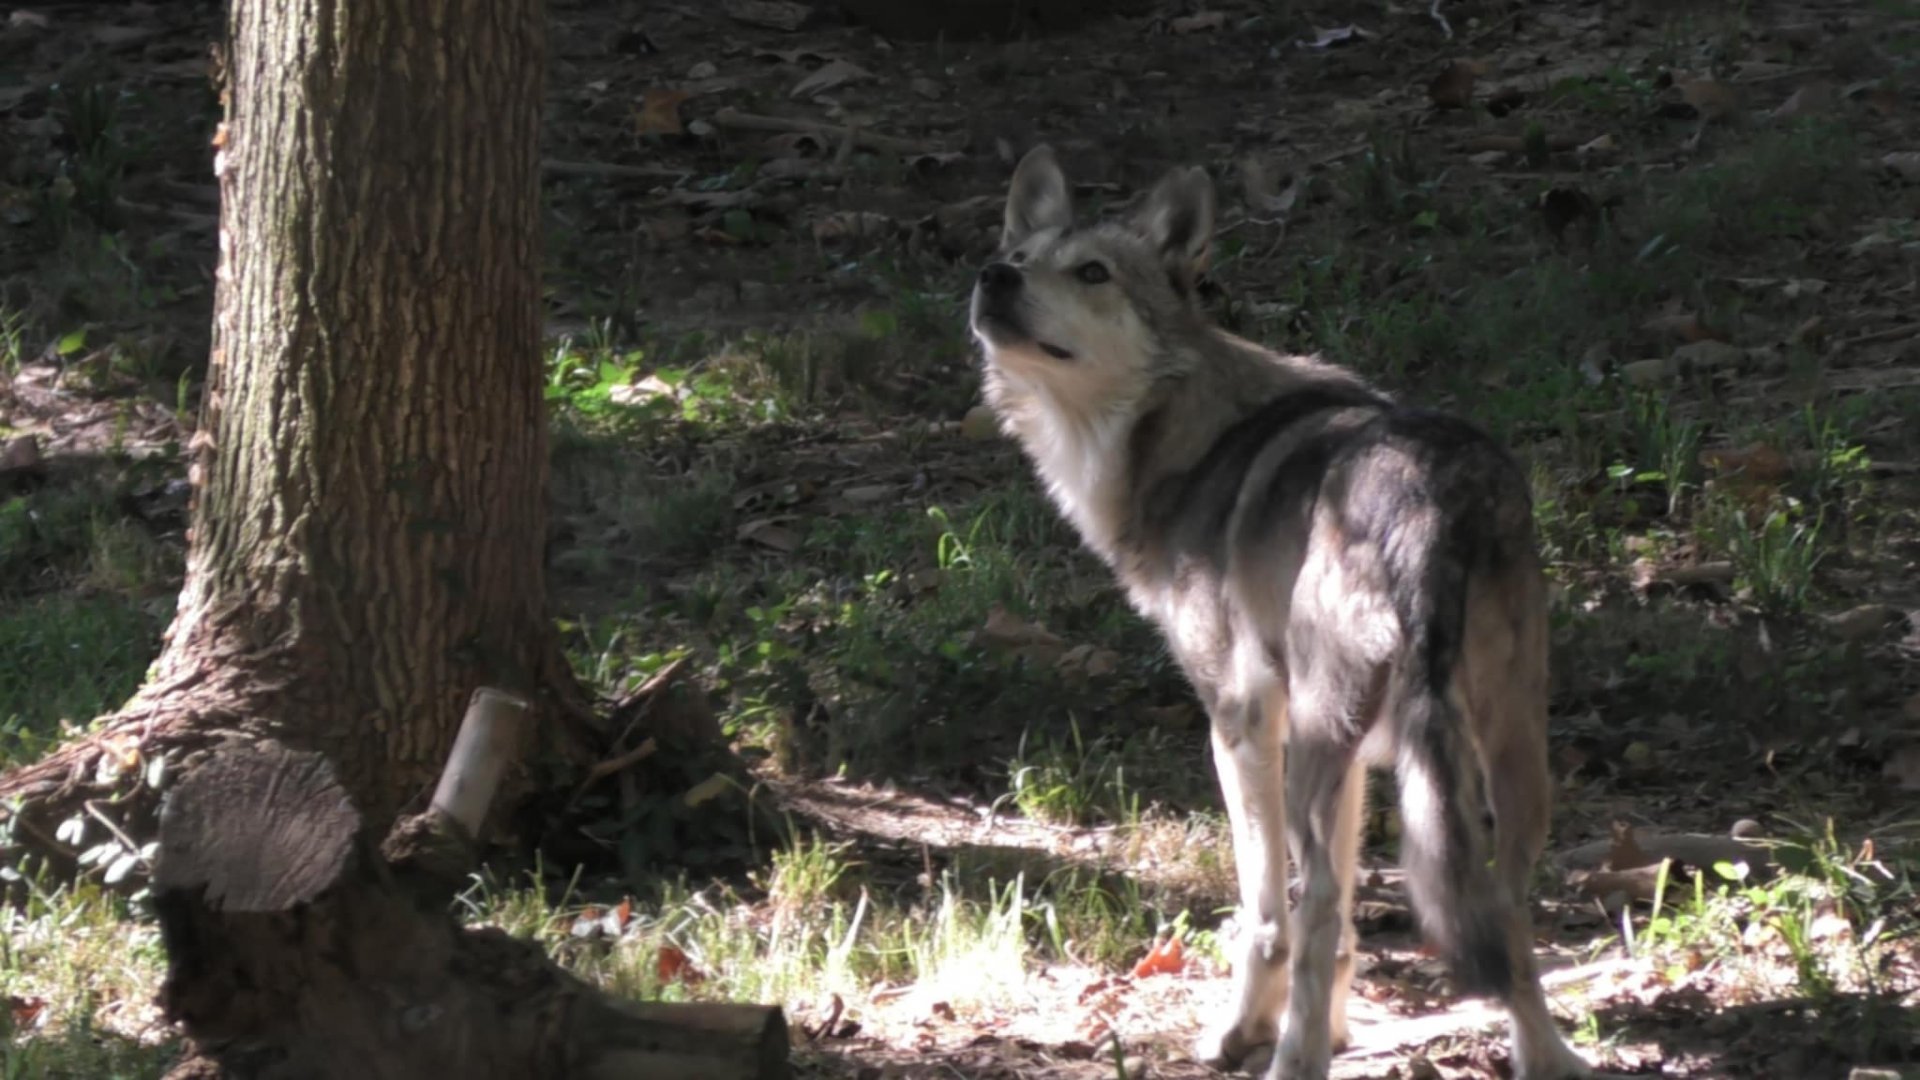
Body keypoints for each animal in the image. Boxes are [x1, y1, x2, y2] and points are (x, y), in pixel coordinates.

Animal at [967, 144, 1594, 1080]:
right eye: (1020, 251)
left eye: (1092, 272)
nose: (994, 276)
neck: (1176, 432)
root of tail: (1428, 499)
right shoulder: (1348, 751)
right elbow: (1341, 935)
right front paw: (1335, 1029)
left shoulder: (1241, 721)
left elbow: (1270, 913)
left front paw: (1244, 1033)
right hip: (1504, 759)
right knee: (1504, 914)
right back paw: (1545, 1055)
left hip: (1316, 760)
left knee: (1323, 903)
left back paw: (1290, 1061)